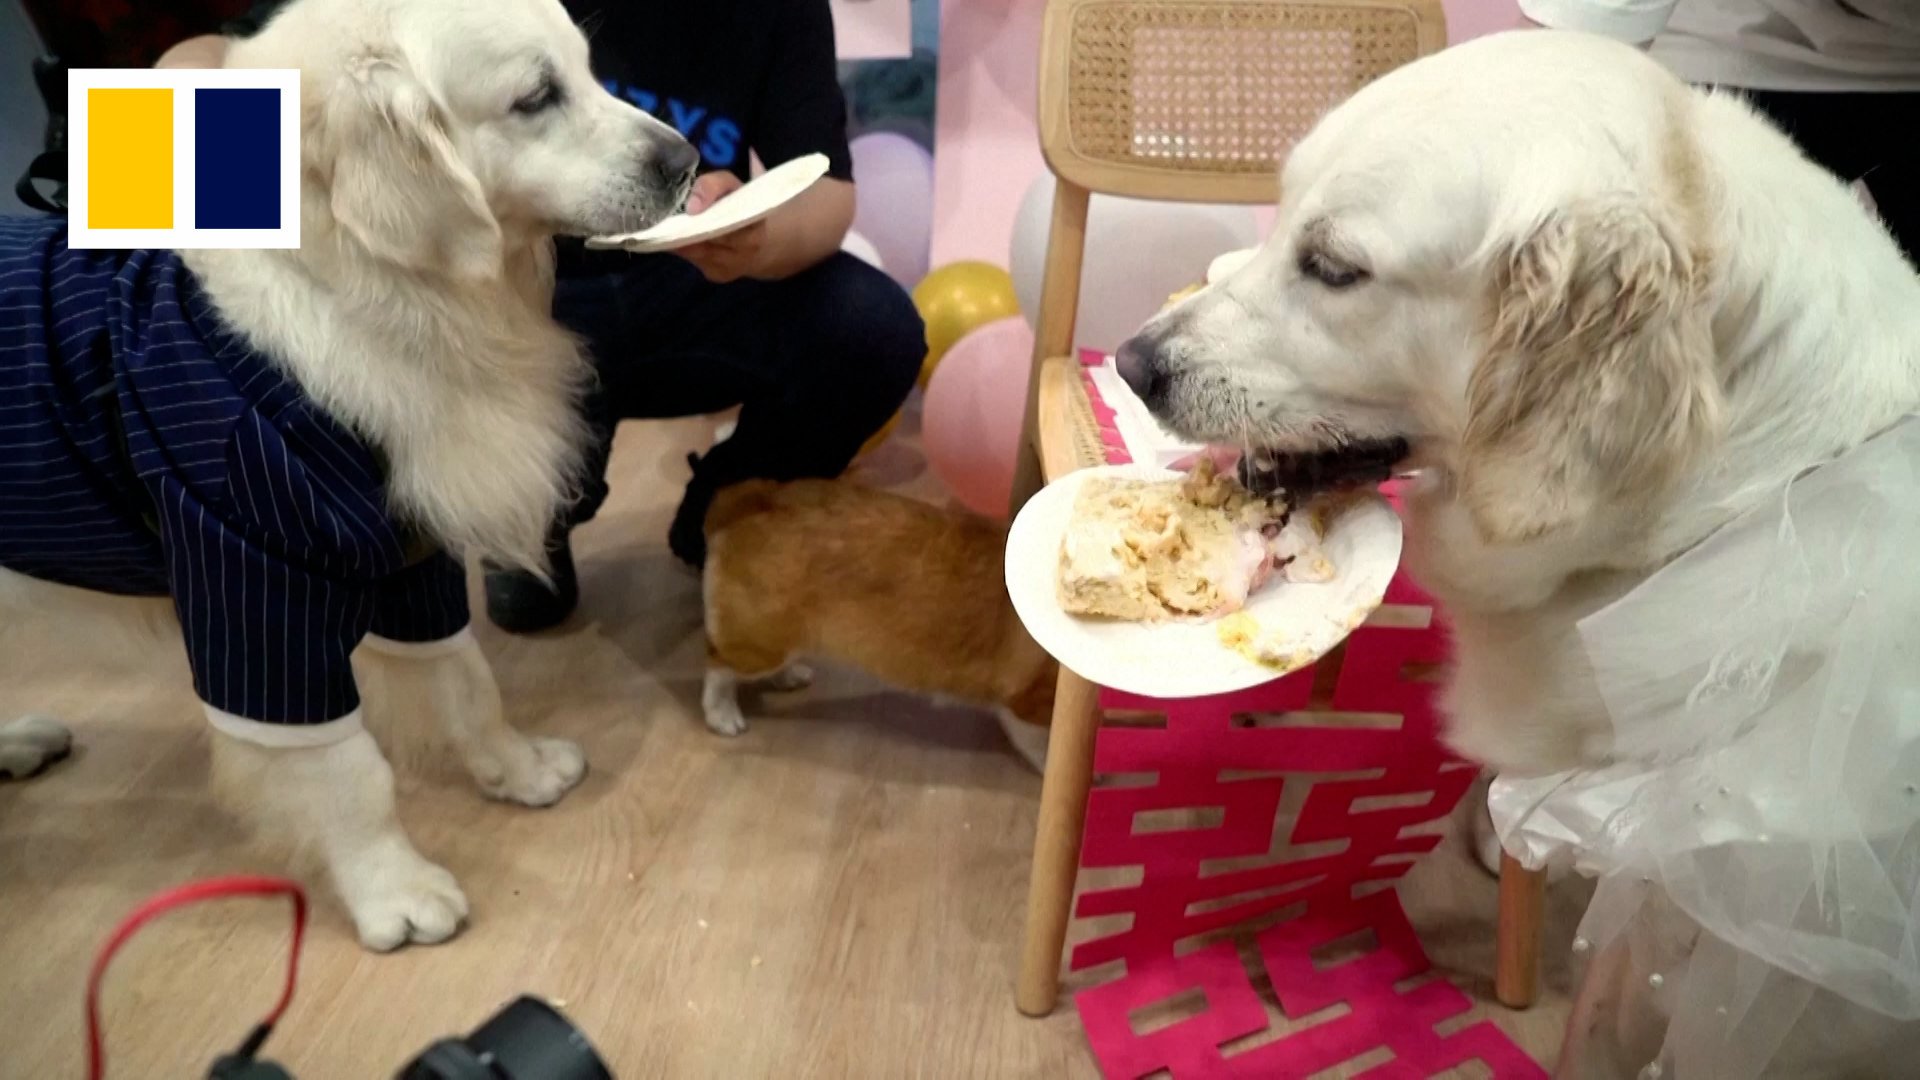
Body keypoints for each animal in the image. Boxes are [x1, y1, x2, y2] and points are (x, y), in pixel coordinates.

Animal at [695, 474, 1059, 745]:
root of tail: (752, 500)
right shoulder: (1028, 706)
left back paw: (790, 676)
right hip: (761, 642)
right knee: (718, 666)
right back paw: (722, 716)